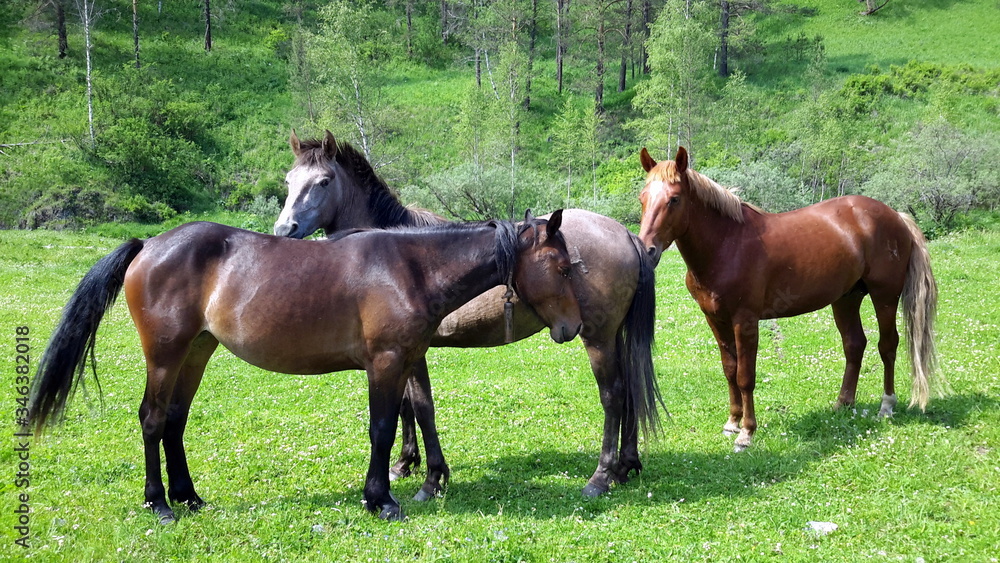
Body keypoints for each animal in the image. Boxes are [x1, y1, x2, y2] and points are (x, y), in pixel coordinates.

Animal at [28, 214, 582, 523]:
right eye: (560, 266)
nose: (573, 326)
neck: (410, 267)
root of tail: (148, 245)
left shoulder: (406, 361)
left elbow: (413, 415)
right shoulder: (384, 364)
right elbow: (382, 429)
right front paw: (380, 500)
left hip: (196, 353)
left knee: (174, 423)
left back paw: (189, 498)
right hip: (165, 356)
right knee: (151, 420)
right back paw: (160, 505)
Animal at [274, 130, 663, 499]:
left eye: (323, 181)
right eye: (290, 180)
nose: (284, 230)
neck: (401, 253)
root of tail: (625, 233)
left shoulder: (410, 353)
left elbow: (420, 407)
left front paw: (429, 478)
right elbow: (405, 407)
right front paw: (404, 463)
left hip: (597, 337)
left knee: (613, 395)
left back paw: (601, 476)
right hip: (614, 336)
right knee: (629, 390)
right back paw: (625, 467)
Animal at [638, 146, 942, 452]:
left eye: (674, 199)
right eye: (643, 197)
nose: (647, 250)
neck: (726, 244)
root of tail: (896, 216)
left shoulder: (745, 321)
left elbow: (745, 376)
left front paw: (746, 432)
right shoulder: (715, 319)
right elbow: (729, 370)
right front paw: (732, 422)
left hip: (884, 297)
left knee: (887, 346)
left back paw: (886, 406)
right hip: (846, 299)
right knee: (855, 345)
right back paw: (843, 403)